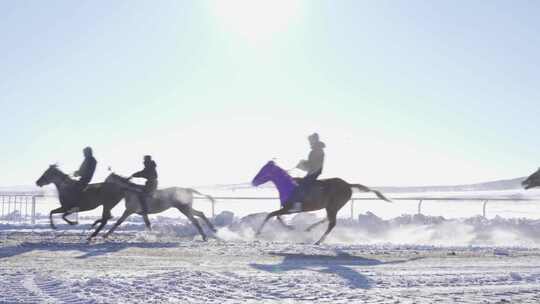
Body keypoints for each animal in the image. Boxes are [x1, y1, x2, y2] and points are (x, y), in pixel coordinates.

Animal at [249, 162, 392, 245]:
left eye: (264, 170)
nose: (254, 181)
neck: (289, 186)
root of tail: (348, 185)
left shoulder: (290, 208)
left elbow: (270, 215)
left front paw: (257, 233)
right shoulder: (287, 209)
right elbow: (276, 216)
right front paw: (290, 227)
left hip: (333, 206)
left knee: (332, 223)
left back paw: (318, 241)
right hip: (332, 207)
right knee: (328, 219)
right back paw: (309, 228)